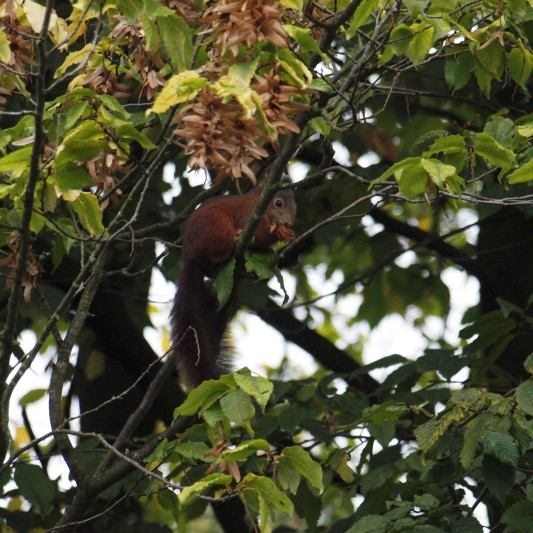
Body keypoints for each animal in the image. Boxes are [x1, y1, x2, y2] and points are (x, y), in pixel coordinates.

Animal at [169, 183, 296, 386]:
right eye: (279, 203)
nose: (289, 224)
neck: (258, 203)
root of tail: (189, 257)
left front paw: (287, 234)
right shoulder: (248, 216)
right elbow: (259, 234)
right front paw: (279, 232)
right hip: (215, 226)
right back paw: (234, 239)